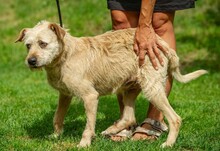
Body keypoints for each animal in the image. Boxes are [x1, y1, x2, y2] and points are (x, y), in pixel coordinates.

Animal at [15, 21, 206, 147]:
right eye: (28, 45)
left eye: (43, 43)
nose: (31, 61)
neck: (65, 56)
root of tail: (161, 42)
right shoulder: (65, 95)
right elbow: (57, 117)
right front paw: (55, 136)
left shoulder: (90, 96)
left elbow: (88, 126)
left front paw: (84, 143)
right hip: (128, 88)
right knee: (129, 117)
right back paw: (112, 130)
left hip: (152, 89)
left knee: (175, 119)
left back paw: (168, 144)